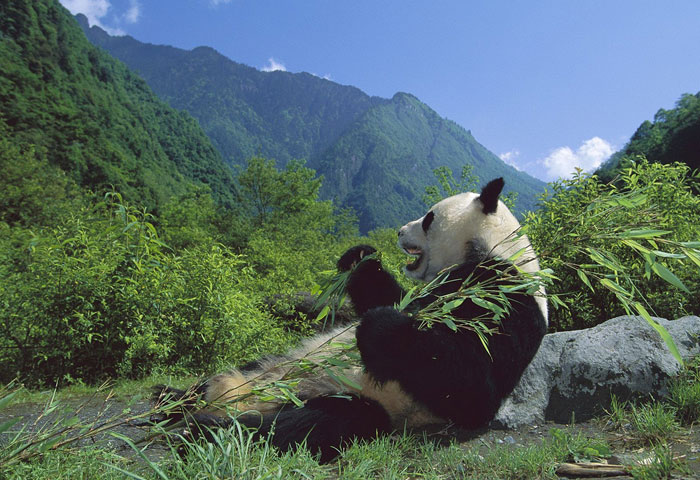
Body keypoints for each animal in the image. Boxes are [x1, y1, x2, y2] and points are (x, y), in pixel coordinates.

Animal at [156, 177, 548, 463]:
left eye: (428, 218)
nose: (399, 231)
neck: (491, 248)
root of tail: (243, 396)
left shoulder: (507, 300)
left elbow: (473, 387)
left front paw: (382, 327)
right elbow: (388, 294)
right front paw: (360, 256)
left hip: (353, 398)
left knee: (315, 423)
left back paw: (205, 429)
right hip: (275, 361)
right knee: (230, 377)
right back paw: (171, 399)